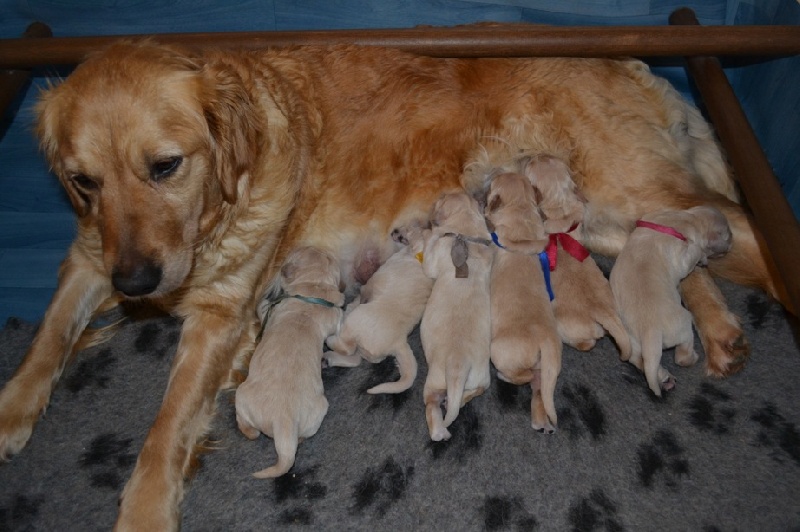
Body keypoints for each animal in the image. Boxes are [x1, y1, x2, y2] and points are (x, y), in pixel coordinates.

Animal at [233, 245, 342, 478]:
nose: (305, 244)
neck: (314, 286)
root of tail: (283, 423)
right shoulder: (335, 317)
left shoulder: (274, 308)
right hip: (318, 410)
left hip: (242, 395)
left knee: (247, 426)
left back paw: (250, 431)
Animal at [324, 224, 432, 394]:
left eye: (408, 228)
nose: (394, 230)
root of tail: (399, 342)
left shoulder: (372, 281)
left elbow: (362, 292)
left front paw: (353, 302)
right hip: (367, 350)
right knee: (355, 358)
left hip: (356, 322)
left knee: (347, 348)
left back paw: (332, 337)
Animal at [418, 191, 494, 440]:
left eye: (440, 199)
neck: (465, 236)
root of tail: (458, 366)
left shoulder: (432, 260)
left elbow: (430, 250)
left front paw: (427, 232)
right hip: (481, 377)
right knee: (473, 392)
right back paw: (460, 401)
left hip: (433, 381)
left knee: (432, 406)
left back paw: (439, 429)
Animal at [482, 174, 564, 432]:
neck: (521, 210)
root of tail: (544, 340)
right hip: (548, 365)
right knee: (540, 386)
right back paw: (542, 421)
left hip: (499, 352)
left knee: (523, 376)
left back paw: (503, 377)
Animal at [608, 206, 736, 396]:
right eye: (727, 233)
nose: (733, 241)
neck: (688, 218)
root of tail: (650, 331)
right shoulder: (685, 255)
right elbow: (695, 253)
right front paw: (703, 258)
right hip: (683, 327)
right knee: (681, 356)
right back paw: (692, 358)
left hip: (633, 343)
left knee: (642, 362)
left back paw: (664, 379)